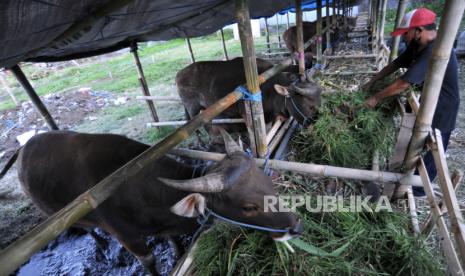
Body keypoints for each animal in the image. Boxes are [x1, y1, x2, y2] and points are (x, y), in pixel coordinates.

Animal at [17, 130, 300, 274]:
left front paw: (177, 253)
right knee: (87, 229)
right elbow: (149, 261)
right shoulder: (129, 239)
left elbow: (172, 239)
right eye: (248, 207)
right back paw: (103, 247)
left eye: (267, 180)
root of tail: (24, 151)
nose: (296, 227)